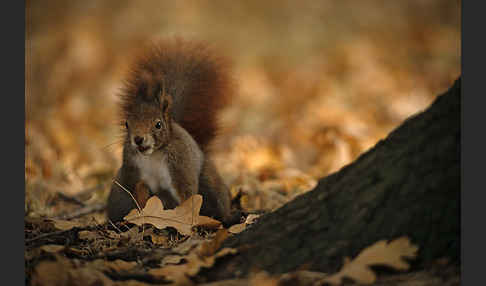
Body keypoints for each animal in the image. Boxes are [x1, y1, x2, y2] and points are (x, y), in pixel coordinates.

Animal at [105, 37, 238, 226]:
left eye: (158, 124)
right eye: (127, 124)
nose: (138, 139)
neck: (154, 154)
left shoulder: (180, 167)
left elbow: (187, 197)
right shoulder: (134, 172)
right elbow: (140, 196)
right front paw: (142, 216)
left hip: (210, 182)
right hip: (118, 191)